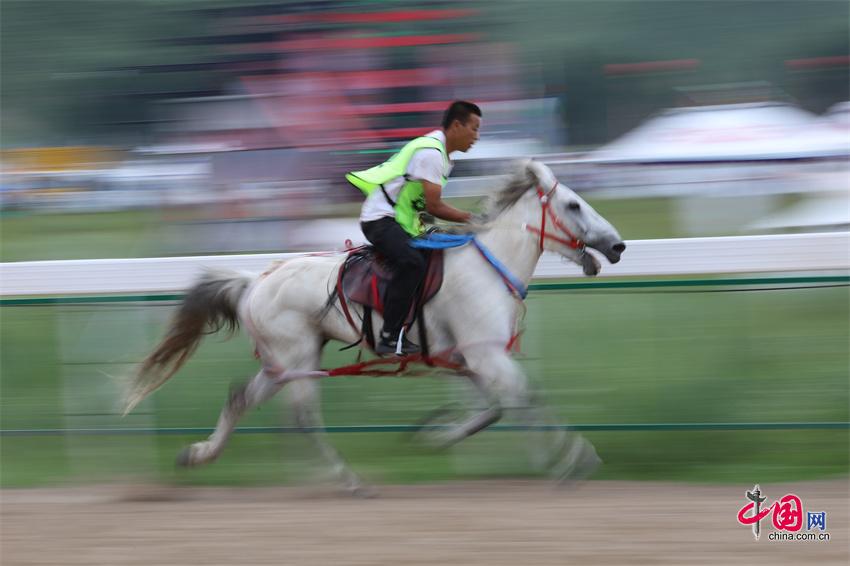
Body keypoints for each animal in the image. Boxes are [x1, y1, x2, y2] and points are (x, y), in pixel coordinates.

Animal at [124, 161, 624, 496]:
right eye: (574, 204)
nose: (617, 245)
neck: (488, 266)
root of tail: (255, 282)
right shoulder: (486, 355)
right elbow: (527, 399)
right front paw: (576, 461)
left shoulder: (473, 359)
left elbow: (499, 409)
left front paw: (436, 434)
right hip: (297, 357)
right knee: (303, 417)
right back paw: (349, 480)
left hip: (283, 362)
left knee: (241, 399)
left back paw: (199, 455)